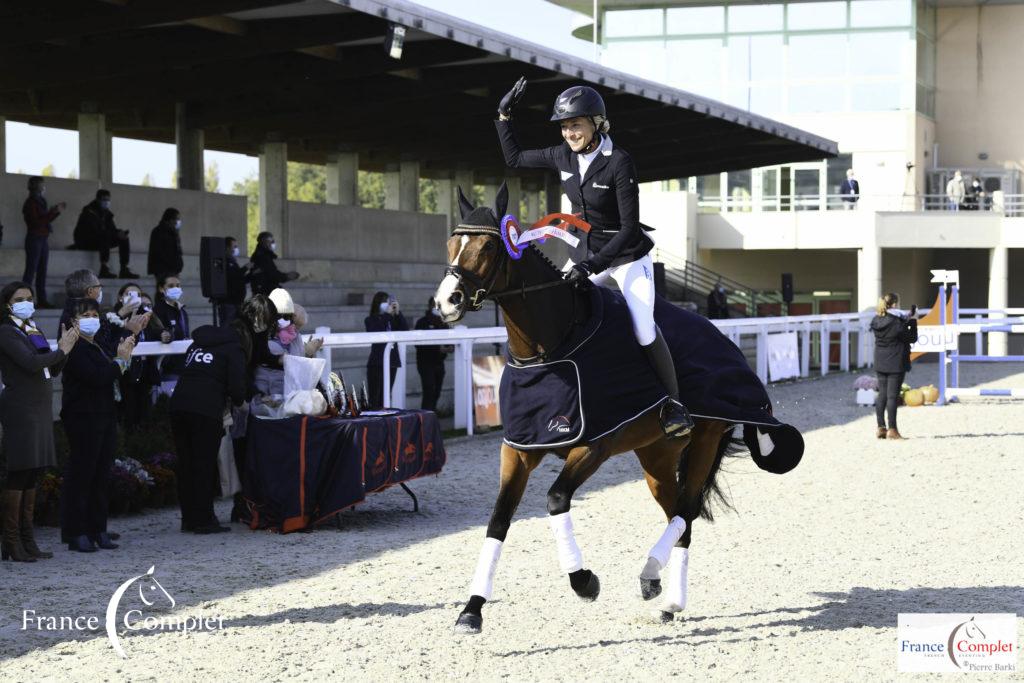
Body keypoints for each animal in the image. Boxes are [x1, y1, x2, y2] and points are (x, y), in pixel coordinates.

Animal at [436, 183, 741, 634]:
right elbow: (498, 520)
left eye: (489, 247)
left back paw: (658, 584)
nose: (446, 302)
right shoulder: (518, 450)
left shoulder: (593, 447)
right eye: (451, 243)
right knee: (677, 515)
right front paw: (472, 609)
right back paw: (663, 593)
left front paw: (583, 581)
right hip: (656, 457)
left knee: (686, 514)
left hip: (704, 440)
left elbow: (556, 499)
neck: (551, 346)